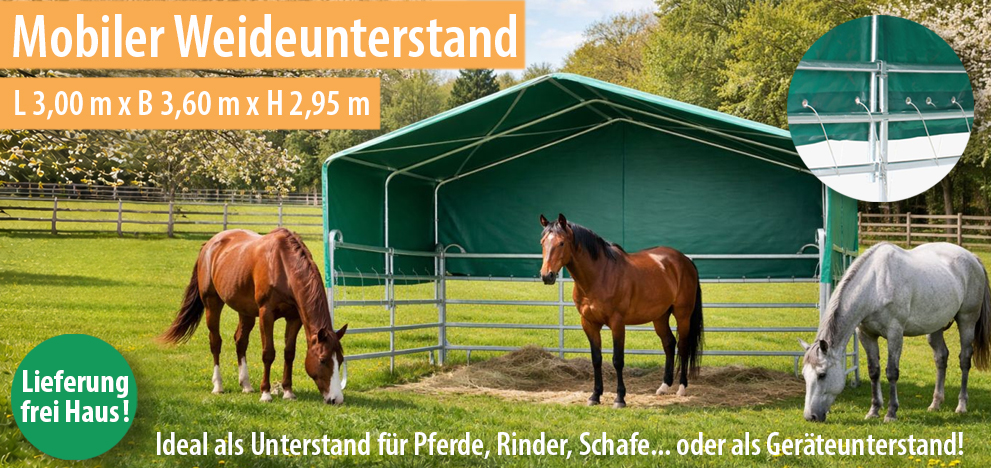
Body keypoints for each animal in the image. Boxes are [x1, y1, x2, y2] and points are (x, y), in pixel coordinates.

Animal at [159, 228, 348, 405]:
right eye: (323, 360)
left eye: (340, 359)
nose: (336, 399)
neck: (282, 265)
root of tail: (208, 245)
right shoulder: (266, 314)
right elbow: (268, 353)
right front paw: (266, 393)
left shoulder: (294, 318)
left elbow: (289, 353)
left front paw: (288, 392)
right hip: (212, 303)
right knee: (215, 342)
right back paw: (218, 386)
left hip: (245, 311)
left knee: (240, 341)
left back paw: (246, 385)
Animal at [538, 213, 704, 408]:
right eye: (542, 242)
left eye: (562, 243)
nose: (546, 275)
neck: (600, 275)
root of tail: (685, 261)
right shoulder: (589, 323)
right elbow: (596, 359)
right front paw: (595, 396)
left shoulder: (617, 323)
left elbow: (618, 360)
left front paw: (620, 399)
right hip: (660, 316)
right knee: (669, 343)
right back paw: (664, 386)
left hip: (682, 315)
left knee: (683, 346)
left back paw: (682, 388)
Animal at [800, 242, 991, 422]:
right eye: (804, 375)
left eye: (822, 375)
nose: (810, 416)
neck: (875, 285)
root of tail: (972, 258)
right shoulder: (867, 335)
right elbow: (874, 371)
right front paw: (874, 411)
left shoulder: (895, 334)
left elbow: (892, 372)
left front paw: (891, 413)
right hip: (935, 326)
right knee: (941, 358)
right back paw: (935, 404)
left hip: (967, 321)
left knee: (964, 359)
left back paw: (961, 406)